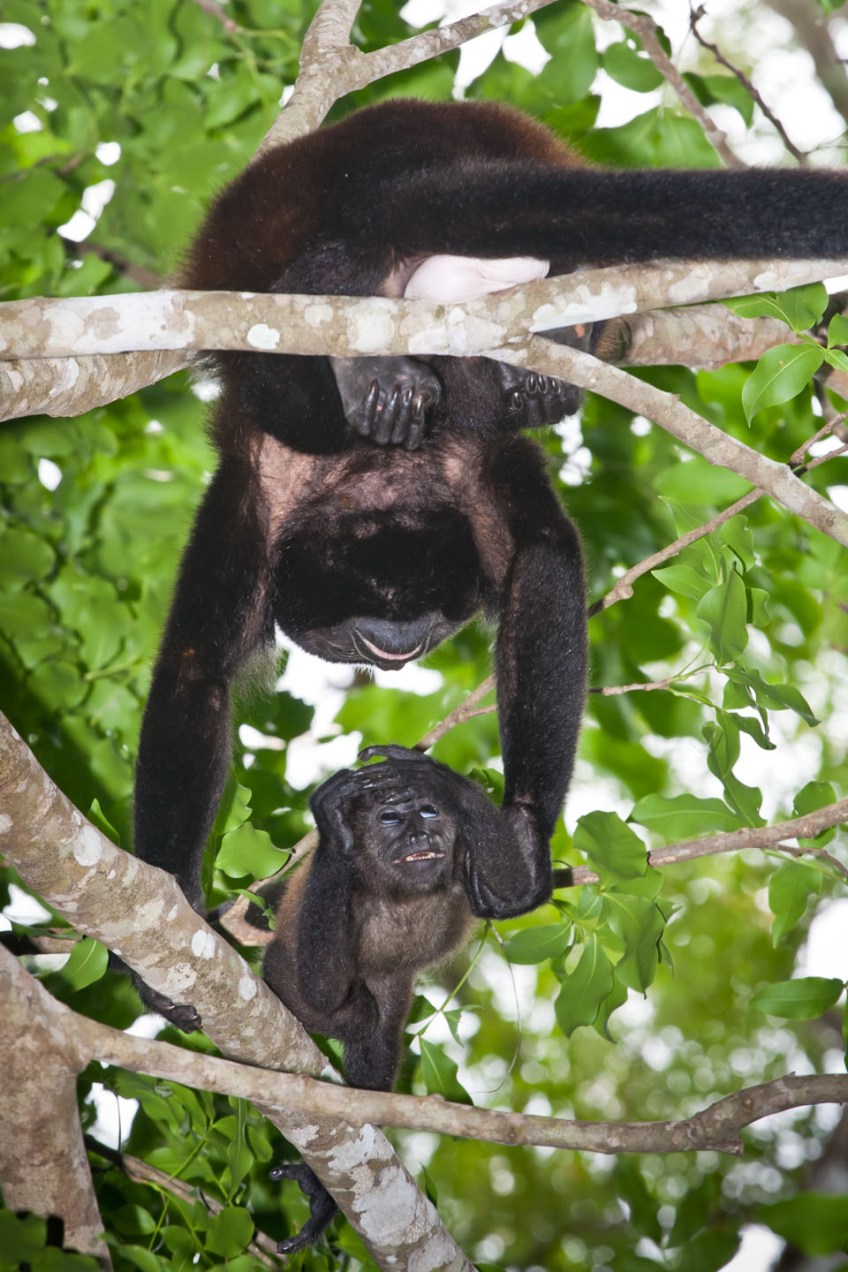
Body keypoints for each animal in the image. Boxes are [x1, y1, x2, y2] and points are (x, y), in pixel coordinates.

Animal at [133, 96, 848, 1023]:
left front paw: (516, 839)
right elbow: (199, 669)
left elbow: (540, 561)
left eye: (425, 623)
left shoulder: (446, 466)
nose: (398, 648)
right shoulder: (268, 495)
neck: (375, 474)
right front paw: (174, 913)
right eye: (362, 632)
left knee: (301, 336)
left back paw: (359, 352)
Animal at [264, 745, 503, 1253]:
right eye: (389, 818)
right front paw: (331, 820)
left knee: (382, 1035)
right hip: (280, 967)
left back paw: (324, 1196)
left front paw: (438, 779)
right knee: (351, 1012)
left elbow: (518, 887)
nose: (419, 833)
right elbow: (323, 993)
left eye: (428, 812)